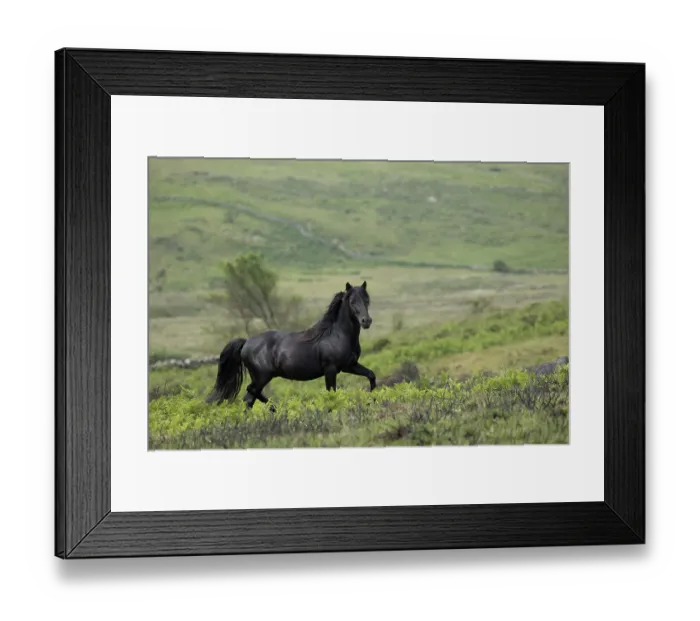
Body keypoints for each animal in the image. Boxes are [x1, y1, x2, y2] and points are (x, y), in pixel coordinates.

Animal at [206, 281, 376, 408]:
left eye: (367, 300)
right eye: (352, 301)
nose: (366, 321)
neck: (338, 334)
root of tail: (246, 342)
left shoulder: (349, 365)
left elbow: (371, 375)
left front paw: (372, 399)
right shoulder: (331, 369)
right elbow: (331, 392)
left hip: (260, 377)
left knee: (250, 397)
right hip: (262, 376)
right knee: (250, 394)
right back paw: (275, 409)